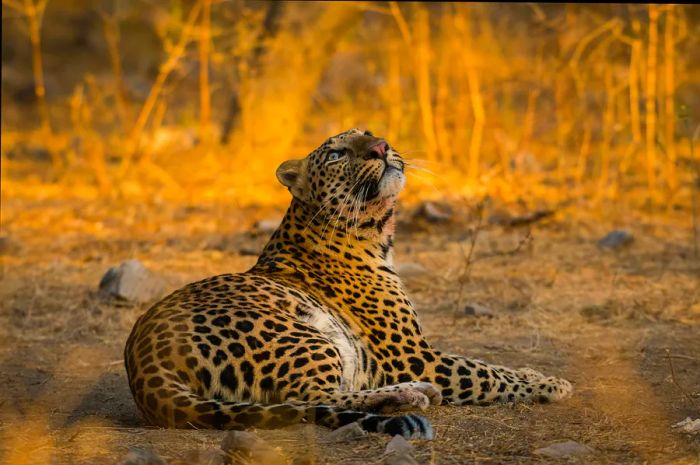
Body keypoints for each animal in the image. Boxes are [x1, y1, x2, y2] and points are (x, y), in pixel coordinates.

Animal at [126, 128, 572, 438]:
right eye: (337, 154)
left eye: (371, 133)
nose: (381, 148)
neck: (374, 233)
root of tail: (143, 366)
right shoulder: (414, 354)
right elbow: (483, 372)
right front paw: (552, 384)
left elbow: (490, 363)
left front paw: (535, 373)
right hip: (301, 335)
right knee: (310, 399)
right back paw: (412, 394)